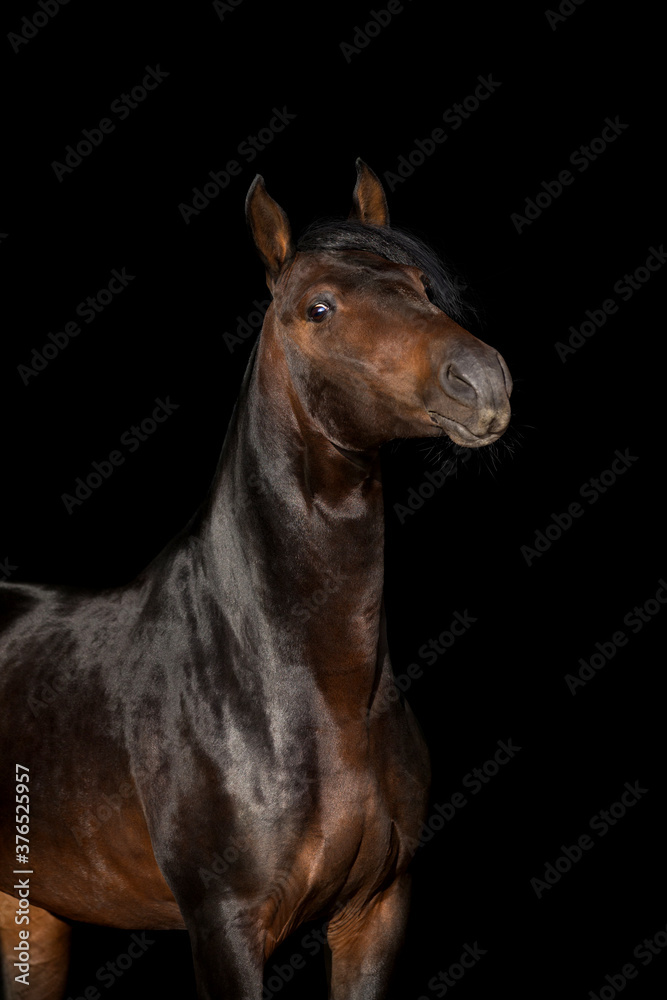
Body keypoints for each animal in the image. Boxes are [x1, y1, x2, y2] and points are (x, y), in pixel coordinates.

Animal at [0, 160, 512, 999]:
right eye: (318, 308)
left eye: (419, 285)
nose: (481, 381)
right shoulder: (225, 925)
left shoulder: (374, 914)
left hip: (33, 915)